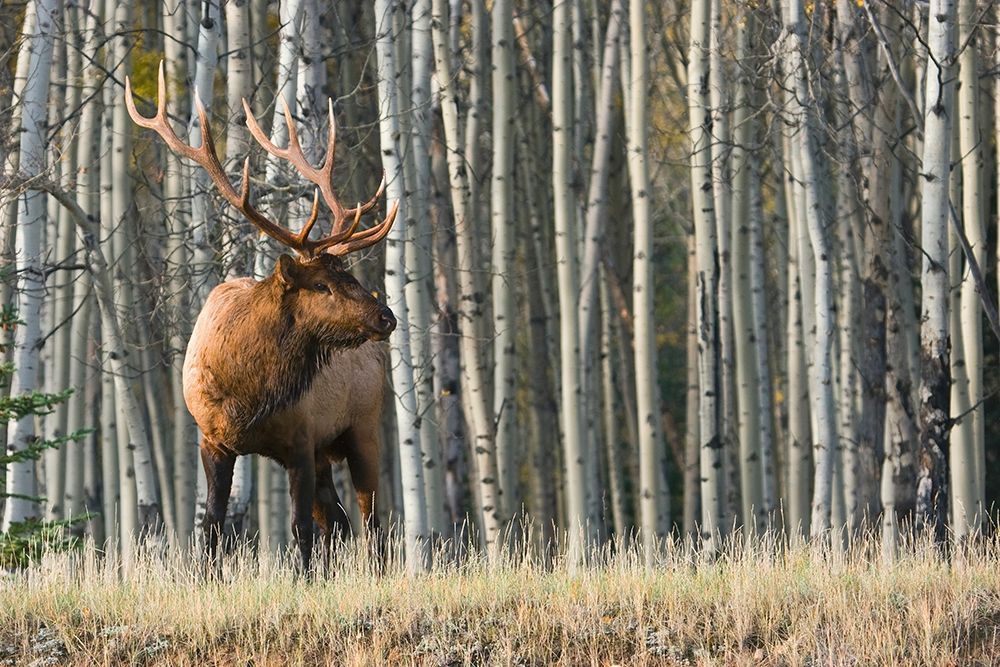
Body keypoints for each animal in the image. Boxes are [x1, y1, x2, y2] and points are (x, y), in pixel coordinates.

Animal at [125, 63, 399, 572]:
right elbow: (213, 525)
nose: (385, 316)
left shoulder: (301, 440)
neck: (249, 394)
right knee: (341, 522)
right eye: (323, 285)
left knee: (371, 521)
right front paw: (206, 578)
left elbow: (300, 529)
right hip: (329, 450)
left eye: (349, 274)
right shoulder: (213, 440)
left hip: (363, 427)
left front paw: (304, 580)